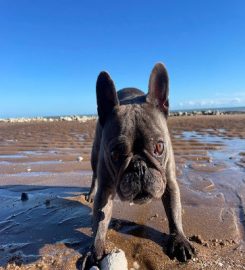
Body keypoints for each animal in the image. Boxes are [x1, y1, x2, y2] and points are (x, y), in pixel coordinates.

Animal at [84, 61, 195, 266]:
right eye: (115, 153)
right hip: (94, 155)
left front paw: (179, 240)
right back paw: (90, 193)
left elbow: (174, 213)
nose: (139, 166)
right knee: (94, 175)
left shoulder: (169, 183)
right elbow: (100, 220)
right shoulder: (105, 190)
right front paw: (95, 249)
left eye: (159, 147)